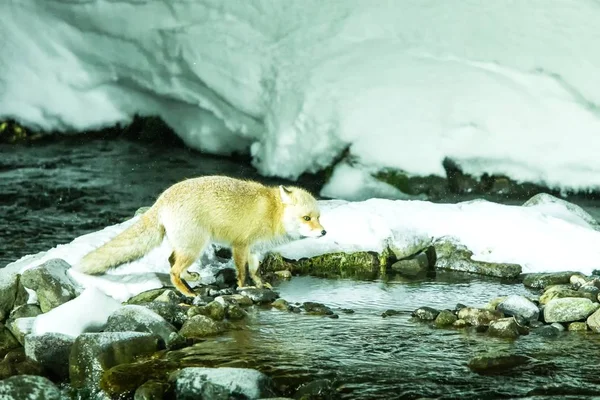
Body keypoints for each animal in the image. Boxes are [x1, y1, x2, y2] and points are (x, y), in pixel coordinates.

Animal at [77, 175, 328, 296]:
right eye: (307, 218)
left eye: (318, 217)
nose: (324, 232)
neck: (273, 214)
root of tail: (161, 199)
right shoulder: (240, 245)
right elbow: (242, 272)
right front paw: (244, 288)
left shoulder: (256, 249)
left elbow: (255, 271)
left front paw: (260, 285)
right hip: (195, 246)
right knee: (172, 271)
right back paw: (187, 293)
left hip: (187, 246)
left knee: (171, 260)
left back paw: (190, 278)